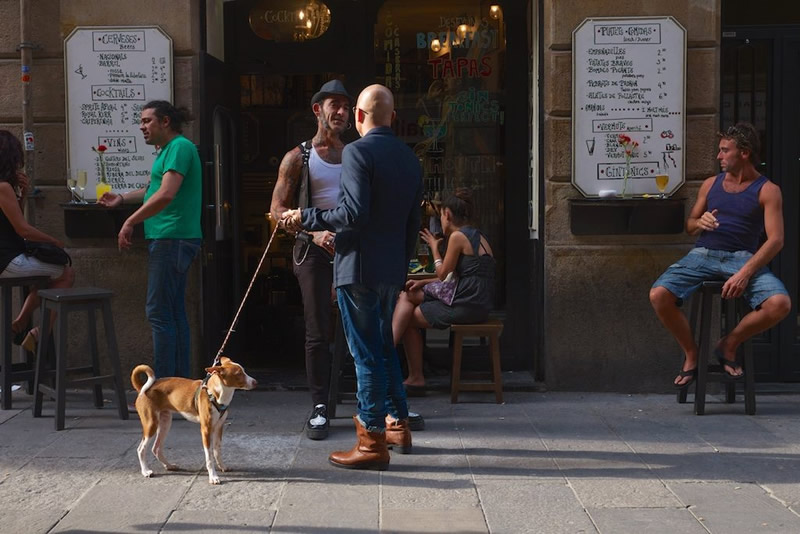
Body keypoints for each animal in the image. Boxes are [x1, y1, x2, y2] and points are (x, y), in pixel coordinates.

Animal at [130, 358, 256, 488]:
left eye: (244, 371)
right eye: (238, 374)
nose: (255, 382)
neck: (216, 394)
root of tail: (143, 389)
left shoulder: (219, 427)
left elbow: (217, 451)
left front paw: (222, 467)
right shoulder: (206, 429)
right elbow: (209, 457)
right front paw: (213, 477)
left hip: (165, 422)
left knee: (156, 448)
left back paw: (169, 466)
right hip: (151, 424)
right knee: (141, 449)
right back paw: (145, 471)